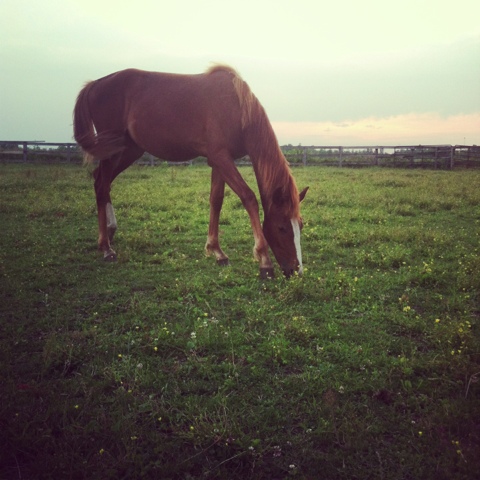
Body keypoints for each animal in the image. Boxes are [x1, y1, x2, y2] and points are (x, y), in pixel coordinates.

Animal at [73, 65, 308, 278]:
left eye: (301, 225)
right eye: (282, 227)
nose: (296, 270)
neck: (236, 107)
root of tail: (95, 84)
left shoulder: (220, 161)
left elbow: (216, 200)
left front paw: (216, 251)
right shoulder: (221, 158)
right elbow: (248, 197)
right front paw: (264, 261)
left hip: (129, 150)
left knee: (101, 181)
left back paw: (110, 232)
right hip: (112, 150)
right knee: (102, 185)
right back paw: (106, 248)